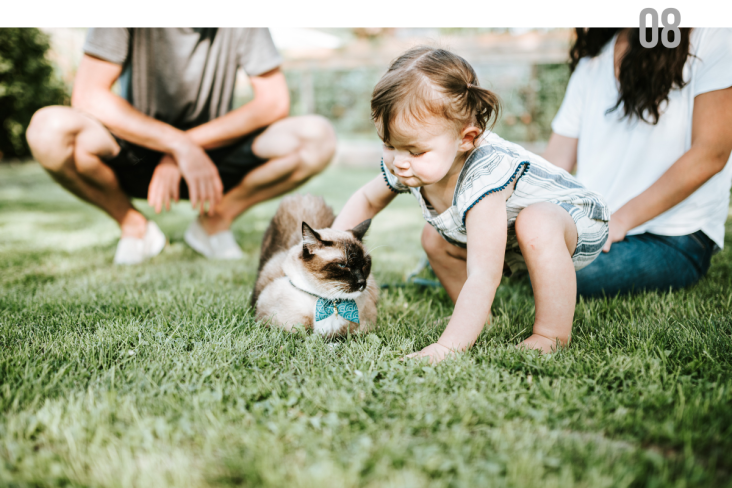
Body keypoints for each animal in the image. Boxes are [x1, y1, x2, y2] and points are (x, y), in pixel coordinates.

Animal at [250, 193, 378, 336]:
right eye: (343, 265)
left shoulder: (364, 329)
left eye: (364, 264)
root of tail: (303, 196)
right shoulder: (280, 328)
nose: (362, 282)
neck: (331, 303)